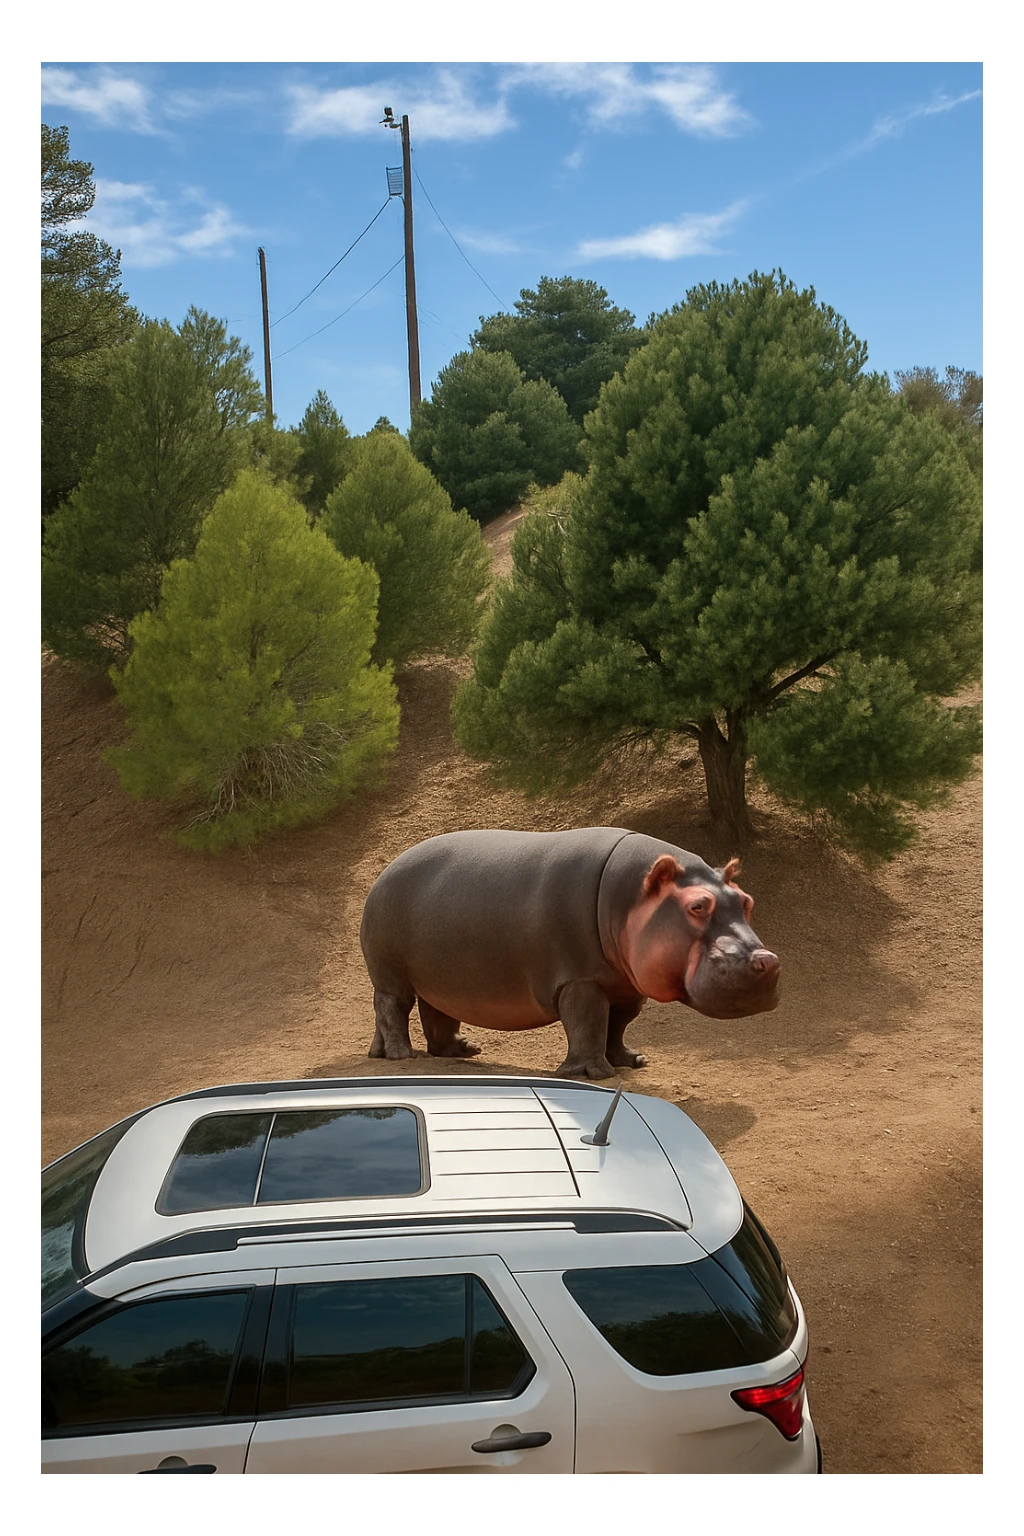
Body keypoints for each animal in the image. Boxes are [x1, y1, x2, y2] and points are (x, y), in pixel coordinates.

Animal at [360, 828, 780, 1081]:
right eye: (697, 906)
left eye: (746, 901)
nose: (768, 961)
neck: (627, 895)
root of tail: (385, 870)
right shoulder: (581, 979)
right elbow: (588, 1021)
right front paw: (595, 1074)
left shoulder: (623, 984)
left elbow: (618, 1023)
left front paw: (631, 1060)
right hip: (392, 974)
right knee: (392, 1008)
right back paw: (402, 1056)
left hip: (439, 978)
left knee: (433, 1013)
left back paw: (457, 1051)